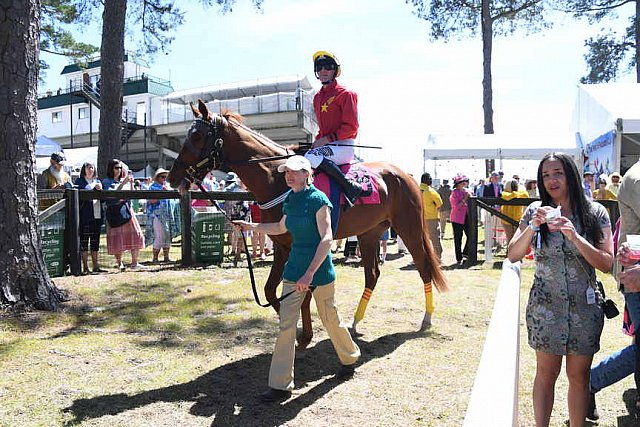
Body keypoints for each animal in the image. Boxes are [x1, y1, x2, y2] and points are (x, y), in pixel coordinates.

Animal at [169, 100, 450, 352]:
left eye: (197, 136)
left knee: (424, 267)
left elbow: (301, 293)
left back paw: (426, 319)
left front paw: (304, 335)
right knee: (372, 275)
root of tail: (404, 175)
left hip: (408, 228)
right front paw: (296, 330)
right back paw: (355, 322)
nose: (173, 177)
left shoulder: (302, 247)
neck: (277, 178)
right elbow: (271, 291)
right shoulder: (282, 246)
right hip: (369, 234)